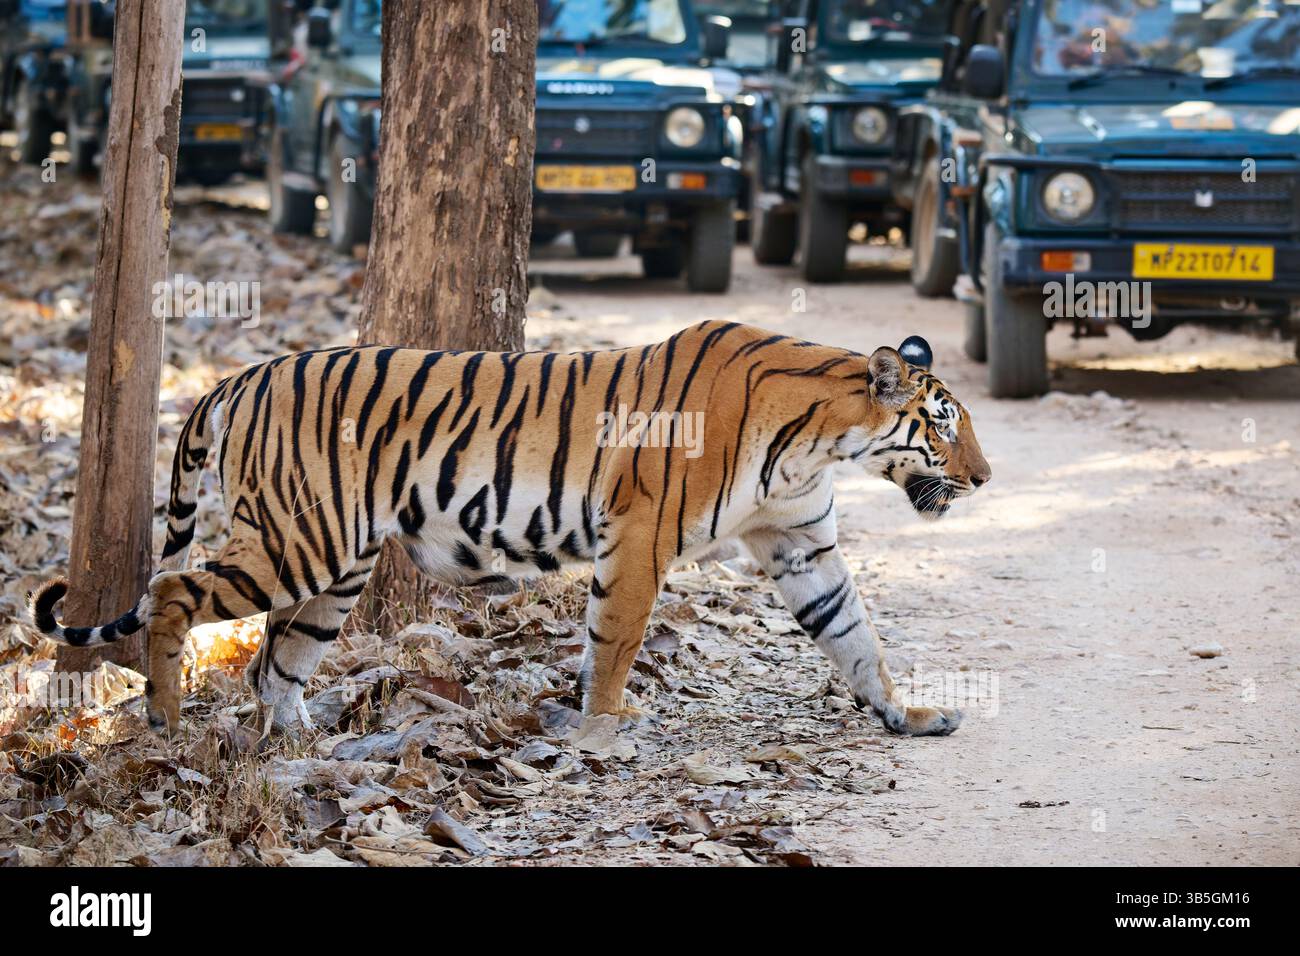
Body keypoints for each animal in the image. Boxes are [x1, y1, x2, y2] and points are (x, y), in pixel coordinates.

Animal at [29, 320, 991, 738]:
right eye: (943, 425)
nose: (985, 479)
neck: (819, 438)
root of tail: (238, 376)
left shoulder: (800, 543)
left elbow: (854, 635)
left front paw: (904, 713)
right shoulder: (639, 537)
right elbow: (615, 640)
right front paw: (602, 730)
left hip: (335, 566)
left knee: (275, 662)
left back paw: (296, 743)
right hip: (295, 544)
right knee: (170, 590)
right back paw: (163, 720)